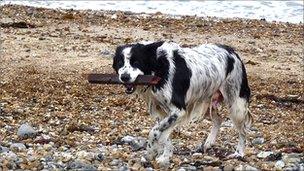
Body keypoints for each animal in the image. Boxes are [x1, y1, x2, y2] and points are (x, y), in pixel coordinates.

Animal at [111, 40, 252, 166]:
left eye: (136, 62)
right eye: (120, 62)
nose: (124, 77)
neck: (158, 67)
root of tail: (232, 51)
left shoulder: (178, 110)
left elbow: (154, 131)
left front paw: (151, 152)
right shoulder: (162, 112)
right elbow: (165, 136)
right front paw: (165, 157)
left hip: (236, 105)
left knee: (243, 130)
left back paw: (239, 153)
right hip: (205, 102)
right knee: (218, 119)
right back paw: (209, 142)